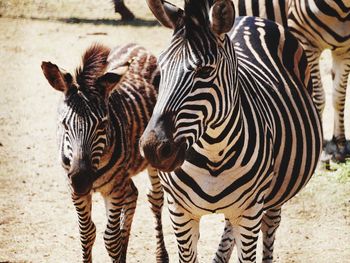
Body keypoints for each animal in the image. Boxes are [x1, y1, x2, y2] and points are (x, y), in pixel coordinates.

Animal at [41, 43, 170, 263]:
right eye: (64, 124)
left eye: (102, 125)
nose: (81, 181)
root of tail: (135, 45)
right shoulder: (74, 189)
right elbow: (87, 233)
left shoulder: (113, 189)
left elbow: (111, 239)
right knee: (133, 193)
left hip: (150, 157)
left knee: (155, 198)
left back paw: (161, 255)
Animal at [139, 0, 322, 263]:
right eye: (159, 72)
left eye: (205, 72)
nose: (154, 148)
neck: (213, 153)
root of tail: (248, 19)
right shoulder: (180, 212)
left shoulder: (249, 212)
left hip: (272, 196)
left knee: (270, 225)